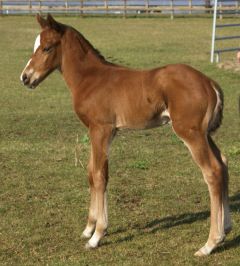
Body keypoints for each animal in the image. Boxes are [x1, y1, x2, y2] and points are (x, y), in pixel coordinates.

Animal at [21, 14, 232, 256]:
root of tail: (209, 83)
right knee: (223, 163)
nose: (25, 78)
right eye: (35, 46)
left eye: (47, 47)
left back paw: (210, 243)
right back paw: (226, 228)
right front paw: (89, 228)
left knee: (212, 171)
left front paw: (97, 236)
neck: (91, 78)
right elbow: (93, 172)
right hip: (204, 134)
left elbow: (99, 175)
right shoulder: (101, 132)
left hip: (190, 132)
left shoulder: (101, 129)